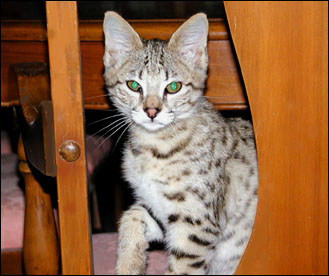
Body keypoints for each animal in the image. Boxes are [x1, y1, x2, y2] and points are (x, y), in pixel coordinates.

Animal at [102, 11, 256, 276]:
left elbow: (182, 269)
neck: (155, 148)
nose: (151, 111)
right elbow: (131, 215)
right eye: (134, 85)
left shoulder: (196, 224)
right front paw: (129, 264)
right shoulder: (158, 208)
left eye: (174, 87)